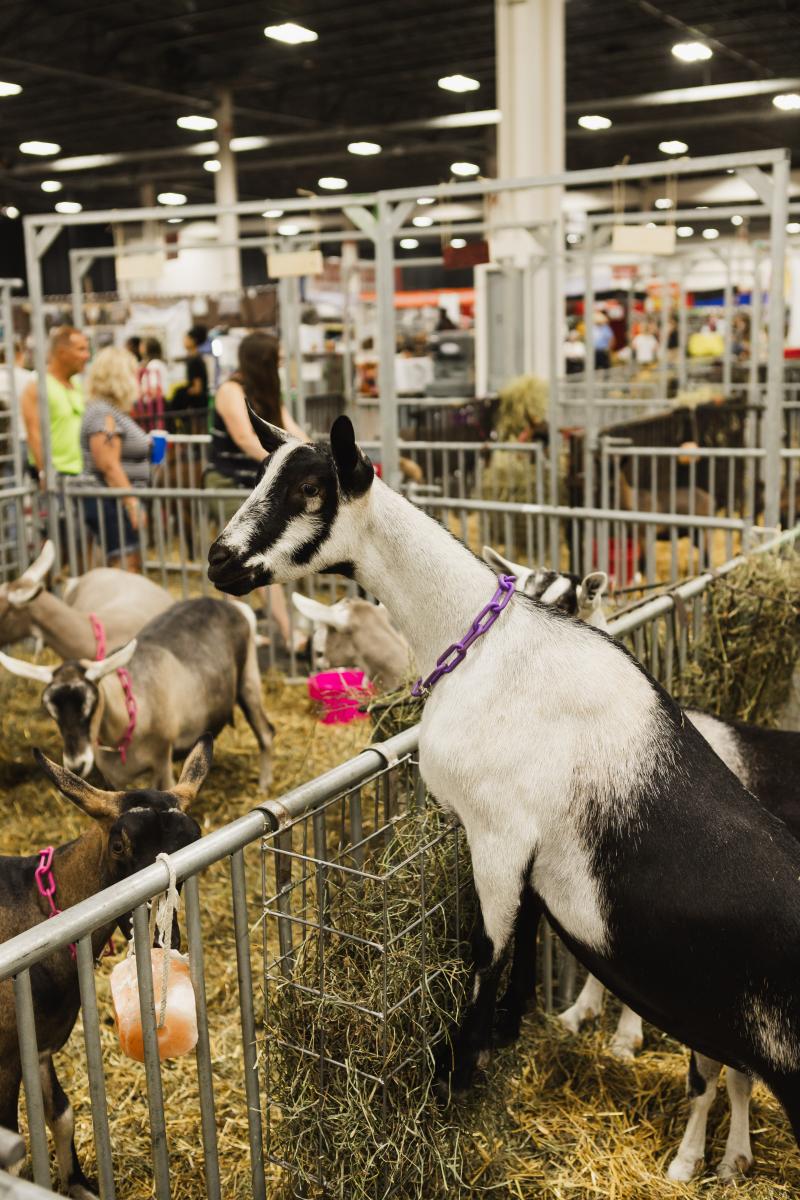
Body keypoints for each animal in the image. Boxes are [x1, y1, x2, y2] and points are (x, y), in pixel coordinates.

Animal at [0, 598, 273, 792]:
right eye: (51, 712)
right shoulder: (112, 778)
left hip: (249, 679)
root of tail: (231, 605)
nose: (77, 765)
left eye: (91, 703)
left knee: (266, 732)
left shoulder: (162, 761)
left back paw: (264, 785)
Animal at [0, 737, 208, 1198]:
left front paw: (79, 1184)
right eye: (118, 846)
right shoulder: (3, 1055)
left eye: (196, 839)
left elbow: (61, 1113)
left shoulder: (39, 1045)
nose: (161, 941)